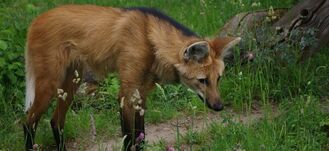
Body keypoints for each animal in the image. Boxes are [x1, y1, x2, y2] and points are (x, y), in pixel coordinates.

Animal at [22, 4, 238, 150]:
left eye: (218, 79)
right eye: (202, 80)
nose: (219, 107)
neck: (151, 43)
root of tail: (35, 20)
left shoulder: (141, 95)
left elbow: (140, 137)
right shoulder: (126, 95)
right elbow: (129, 139)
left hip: (71, 85)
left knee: (55, 120)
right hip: (51, 84)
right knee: (28, 122)